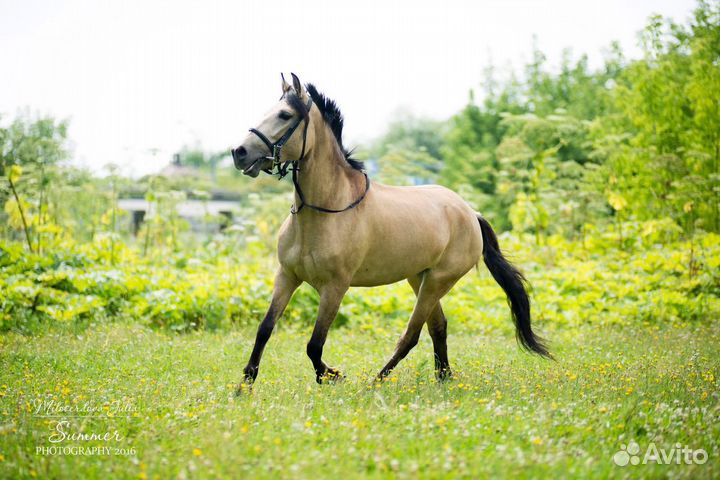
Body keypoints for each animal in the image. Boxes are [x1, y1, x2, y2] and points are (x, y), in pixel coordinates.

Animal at [231, 73, 549, 390]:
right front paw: (244, 386)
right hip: (419, 278)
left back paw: (376, 382)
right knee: (438, 326)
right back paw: (443, 378)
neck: (327, 210)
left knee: (412, 334)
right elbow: (265, 329)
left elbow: (315, 344)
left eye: (285, 115)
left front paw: (332, 376)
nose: (239, 152)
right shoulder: (287, 276)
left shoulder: (335, 288)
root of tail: (471, 213)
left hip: (438, 281)